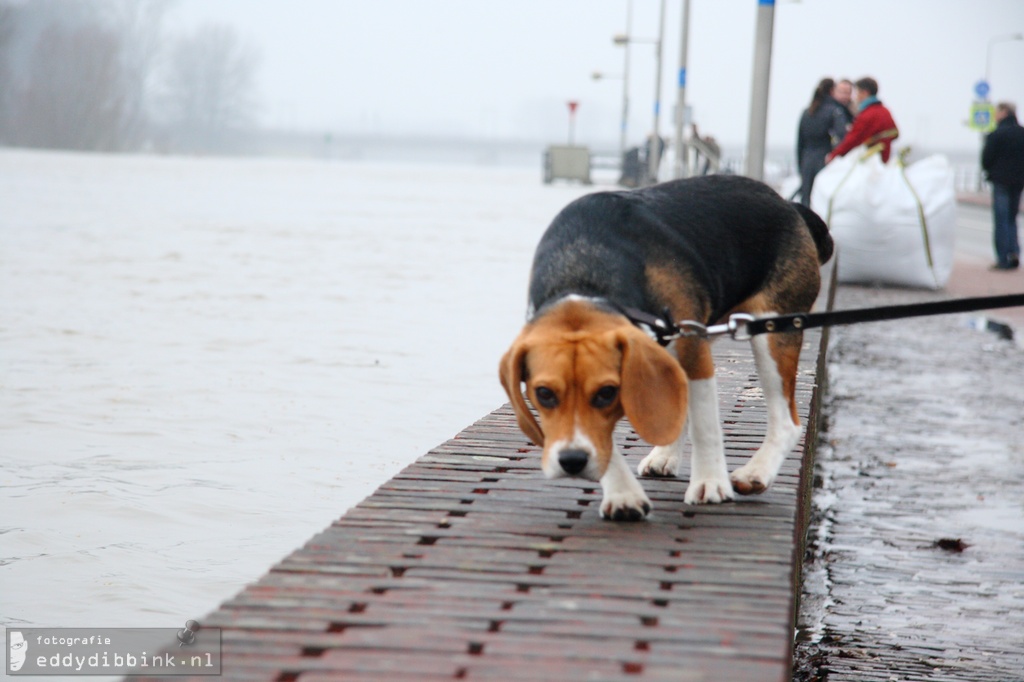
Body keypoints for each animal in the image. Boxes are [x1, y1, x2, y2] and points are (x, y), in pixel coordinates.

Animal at [497, 173, 831, 518]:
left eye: (606, 393)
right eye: (544, 394)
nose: (572, 462)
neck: (586, 274)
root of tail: (787, 204)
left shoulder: (694, 351)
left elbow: (704, 427)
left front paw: (710, 484)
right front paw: (623, 493)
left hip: (772, 330)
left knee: (787, 421)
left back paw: (755, 473)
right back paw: (665, 456)